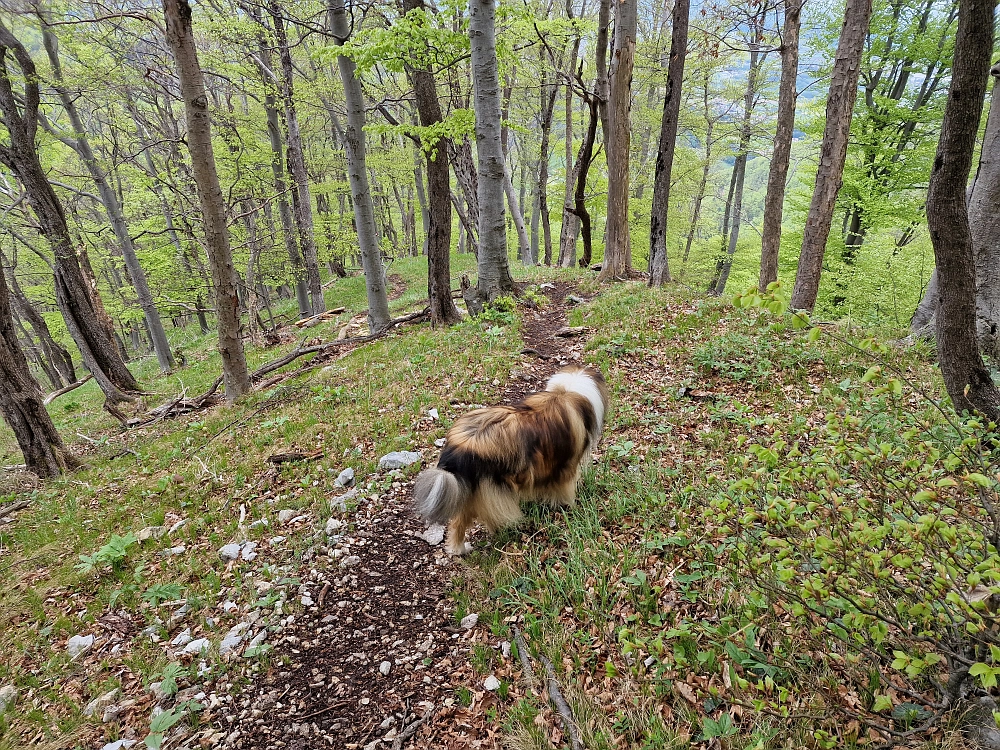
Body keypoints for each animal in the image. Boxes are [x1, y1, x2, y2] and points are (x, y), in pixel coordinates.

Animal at [410, 368, 604, 556]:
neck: (566, 391)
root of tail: (459, 449)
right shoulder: (566, 468)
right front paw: (568, 507)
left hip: (471, 490)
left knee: (458, 523)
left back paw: (459, 549)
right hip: (491, 488)